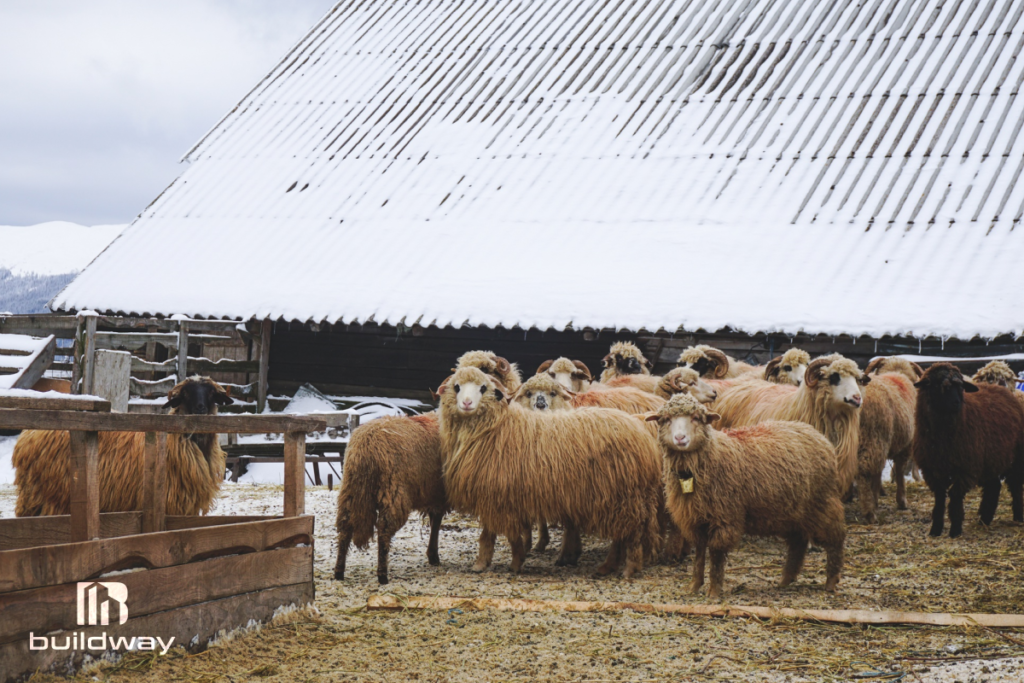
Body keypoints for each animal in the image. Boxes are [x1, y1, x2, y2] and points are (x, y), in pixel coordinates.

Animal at [438, 366, 662, 577]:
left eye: (483, 388)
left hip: (622, 496)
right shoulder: (499, 496)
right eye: (456, 387)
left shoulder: (499, 496)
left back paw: (628, 568)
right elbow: (496, 534)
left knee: (631, 534)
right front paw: (492, 562)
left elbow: (499, 535)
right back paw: (610, 566)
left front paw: (506, 562)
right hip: (625, 498)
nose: (467, 403)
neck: (497, 428)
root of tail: (640, 430)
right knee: (624, 535)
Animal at [647, 394, 845, 598]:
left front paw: (714, 590)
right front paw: (694, 586)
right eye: (666, 419)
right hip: (792, 511)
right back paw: (786, 580)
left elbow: (716, 554)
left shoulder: (724, 517)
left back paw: (831, 581)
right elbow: (699, 553)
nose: (680, 438)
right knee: (798, 542)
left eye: (696, 418)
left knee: (835, 538)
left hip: (822, 502)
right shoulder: (696, 519)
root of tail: (816, 434)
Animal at [912, 363, 1024, 538]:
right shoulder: (932, 469)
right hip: (989, 459)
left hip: (1015, 457)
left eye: (961, 387)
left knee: (1015, 485)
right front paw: (935, 530)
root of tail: (1002, 389)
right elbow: (939, 498)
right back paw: (985, 519)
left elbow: (955, 496)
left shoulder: (965, 468)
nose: (957, 403)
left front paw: (955, 530)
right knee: (994, 486)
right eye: (939, 385)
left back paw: (1018, 516)